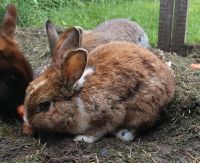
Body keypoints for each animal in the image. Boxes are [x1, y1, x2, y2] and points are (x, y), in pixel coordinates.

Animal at [22, 28, 174, 143]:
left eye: (45, 105)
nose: (27, 121)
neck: (77, 98)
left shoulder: (110, 115)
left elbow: (99, 131)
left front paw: (82, 138)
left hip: (144, 108)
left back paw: (124, 134)